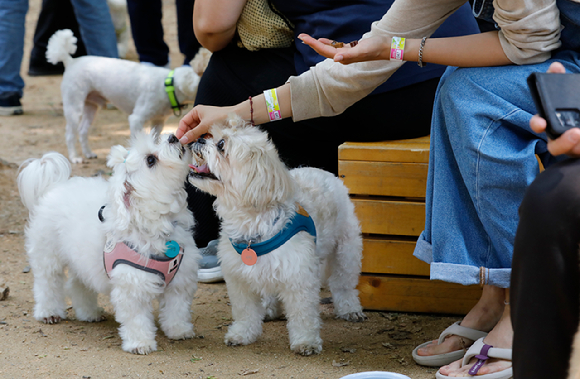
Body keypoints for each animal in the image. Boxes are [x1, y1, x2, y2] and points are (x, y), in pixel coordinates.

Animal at [18, 132, 201, 354]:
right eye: (151, 160)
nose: (174, 136)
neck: (158, 222)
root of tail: (54, 187)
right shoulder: (132, 287)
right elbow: (136, 319)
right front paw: (140, 343)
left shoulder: (180, 281)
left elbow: (177, 309)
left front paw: (179, 330)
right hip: (47, 254)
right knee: (47, 283)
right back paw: (48, 312)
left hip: (83, 260)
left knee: (78, 284)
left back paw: (88, 312)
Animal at [46, 29, 206, 166]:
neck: (169, 86)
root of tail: (71, 61)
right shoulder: (136, 119)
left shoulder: (158, 122)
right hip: (74, 108)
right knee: (70, 134)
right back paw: (75, 157)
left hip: (91, 107)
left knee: (82, 130)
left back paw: (89, 153)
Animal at [187, 116, 368, 356]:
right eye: (211, 135)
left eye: (221, 145)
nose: (198, 138)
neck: (252, 224)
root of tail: (322, 171)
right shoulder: (239, 279)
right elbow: (245, 312)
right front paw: (243, 333)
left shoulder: (299, 277)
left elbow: (303, 315)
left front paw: (306, 341)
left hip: (346, 250)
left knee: (343, 283)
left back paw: (349, 308)